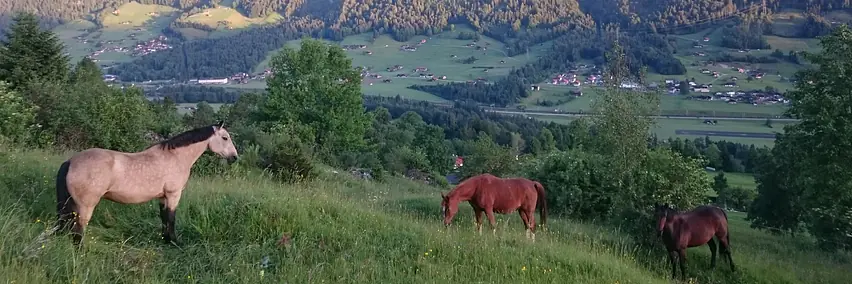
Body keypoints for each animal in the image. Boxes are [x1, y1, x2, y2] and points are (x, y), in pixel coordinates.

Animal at [52, 122, 240, 246]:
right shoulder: (173, 194)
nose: (234, 157)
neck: (175, 157)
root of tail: (70, 161)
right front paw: (175, 242)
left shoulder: (163, 197)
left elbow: (164, 218)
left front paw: (166, 240)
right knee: (78, 231)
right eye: (225, 137)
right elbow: (171, 218)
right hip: (85, 206)